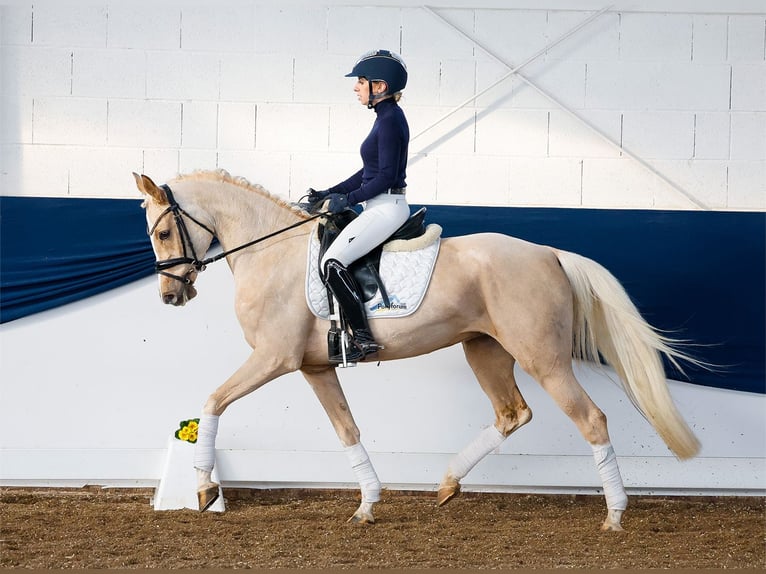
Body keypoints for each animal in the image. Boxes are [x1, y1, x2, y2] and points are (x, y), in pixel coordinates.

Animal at [134, 169, 704, 532]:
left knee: (591, 419)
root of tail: (548, 253)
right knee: (512, 413)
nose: (169, 297)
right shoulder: (314, 368)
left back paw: (614, 515)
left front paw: (204, 489)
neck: (270, 253)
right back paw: (447, 484)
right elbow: (347, 430)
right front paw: (367, 505)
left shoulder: (273, 360)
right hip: (485, 351)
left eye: (161, 232)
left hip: (543, 358)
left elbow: (212, 401)